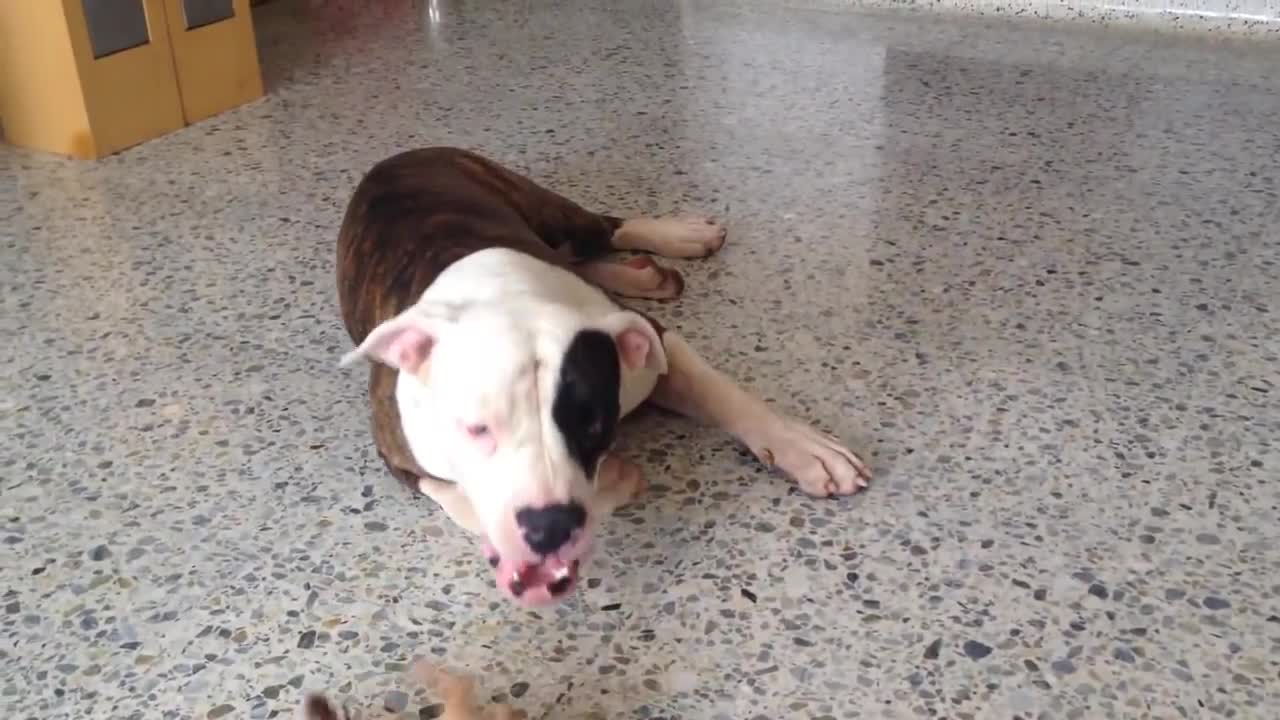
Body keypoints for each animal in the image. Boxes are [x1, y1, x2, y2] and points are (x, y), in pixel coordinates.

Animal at [335, 146, 875, 604]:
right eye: (476, 430)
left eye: (592, 423)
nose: (550, 525)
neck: (509, 300)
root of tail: (395, 158)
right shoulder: (398, 452)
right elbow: (462, 502)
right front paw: (614, 479)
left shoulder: (650, 344)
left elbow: (720, 391)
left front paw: (804, 448)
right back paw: (646, 273)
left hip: (545, 209)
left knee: (606, 228)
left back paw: (676, 240)